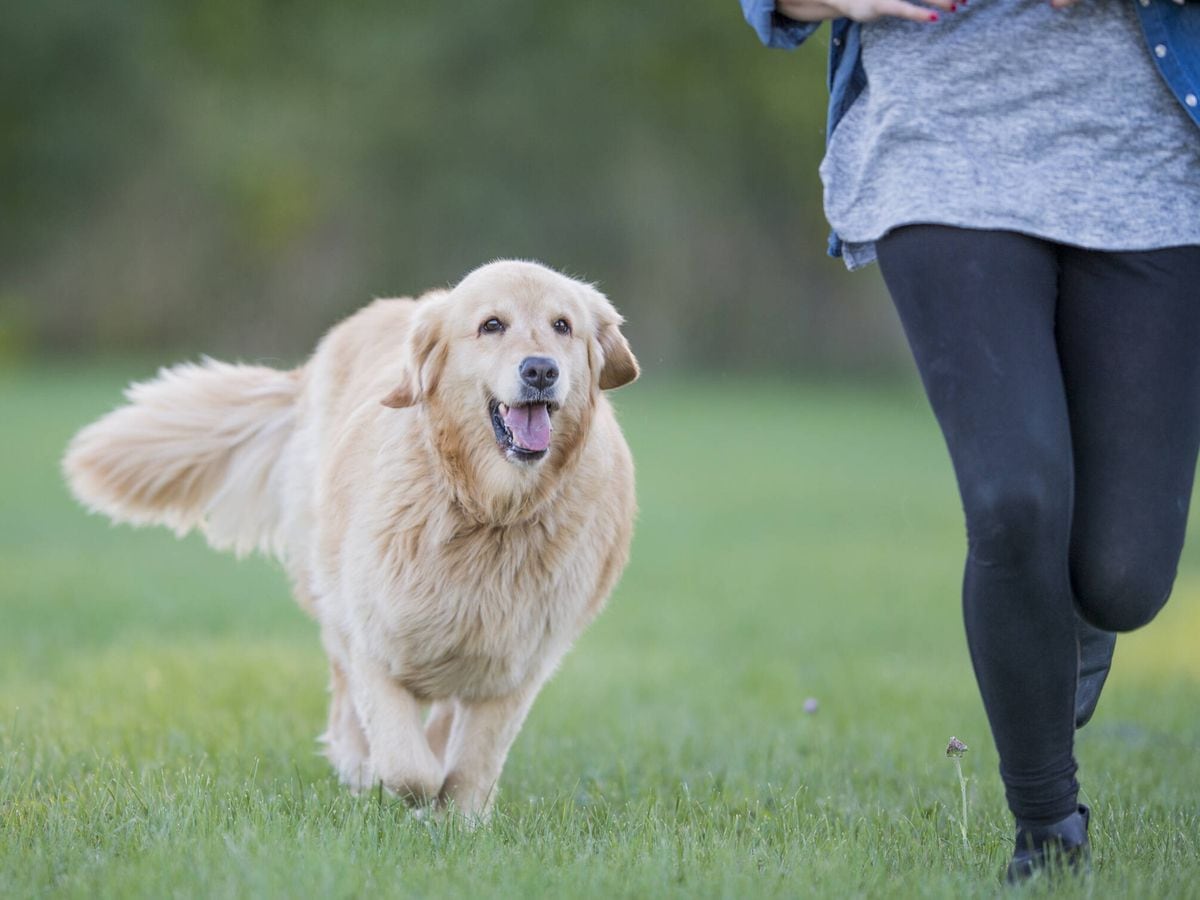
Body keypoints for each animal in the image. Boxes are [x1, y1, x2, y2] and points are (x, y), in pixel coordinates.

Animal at [63, 259, 638, 816]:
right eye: (491, 325)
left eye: (563, 326)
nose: (541, 369)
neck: (488, 510)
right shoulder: (373, 637)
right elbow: (408, 766)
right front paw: (394, 784)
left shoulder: (518, 664)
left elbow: (471, 765)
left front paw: (459, 820)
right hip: (327, 588)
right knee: (347, 701)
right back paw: (359, 768)